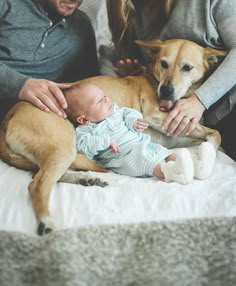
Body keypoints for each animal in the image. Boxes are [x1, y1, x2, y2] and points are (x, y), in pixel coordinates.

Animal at [0, 38, 226, 235]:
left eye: (187, 68)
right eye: (164, 63)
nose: (166, 91)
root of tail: (9, 115)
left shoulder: (180, 133)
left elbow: (213, 136)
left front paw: (207, 154)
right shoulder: (155, 115)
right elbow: (216, 133)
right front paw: (206, 159)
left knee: (39, 175)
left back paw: (85, 179)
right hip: (63, 146)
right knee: (37, 184)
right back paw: (47, 222)